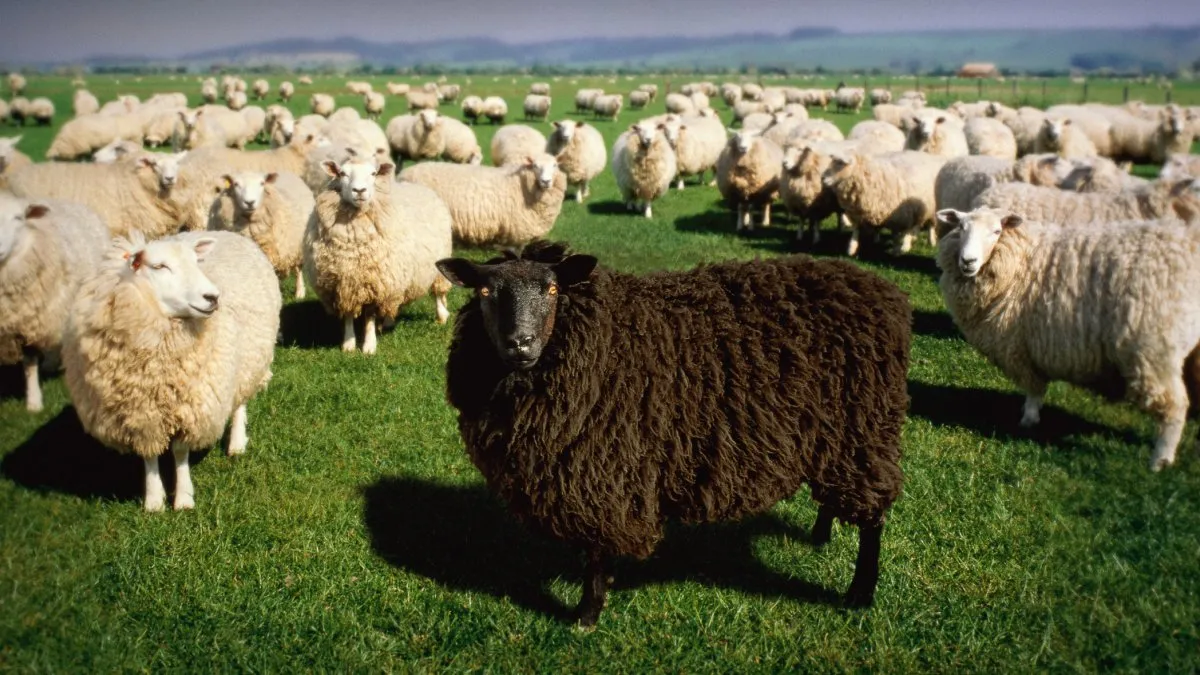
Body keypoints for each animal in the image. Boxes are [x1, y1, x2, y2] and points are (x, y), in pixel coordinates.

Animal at [63, 231, 281, 511]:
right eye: (159, 266)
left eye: (196, 262)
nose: (213, 297)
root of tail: (227, 232)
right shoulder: (141, 413)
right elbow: (149, 454)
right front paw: (154, 501)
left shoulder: (188, 405)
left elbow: (179, 451)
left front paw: (184, 498)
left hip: (247, 359)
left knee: (240, 402)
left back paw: (236, 443)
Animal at [207, 171, 313, 299]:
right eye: (236, 184)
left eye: (262, 183)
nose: (249, 202)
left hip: (297, 246)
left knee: (298, 269)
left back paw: (300, 292)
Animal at [305, 158, 453, 354]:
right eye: (342, 173)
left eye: (373, 173)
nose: (359, 190)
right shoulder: (344, 283)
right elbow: (349, 314)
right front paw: (349, 344)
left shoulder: (375, 282)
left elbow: (369, 316)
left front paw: (369, 345)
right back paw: (388, 322)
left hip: (436, 268)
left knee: (438, 293)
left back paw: (442, 315)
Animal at [434, 240, 911, 625]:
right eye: (484, 292)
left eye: (552, 291)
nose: (521, 343)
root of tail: (882, 291)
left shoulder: (606, 470)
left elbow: (596, 550)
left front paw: (587, 614)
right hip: (834, 437)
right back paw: (821, 535)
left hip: (864, 430)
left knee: (874, 518)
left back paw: (860, 592)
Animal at [936, 207, 1200, 471]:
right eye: (961, 227)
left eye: (997, 231)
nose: (967, 261)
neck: (1022, 262)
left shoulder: (1020, 346)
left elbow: (1034, 388)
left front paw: (1028, 420)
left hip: (1153, 351)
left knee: (1175, 407)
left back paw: (1160, 460)